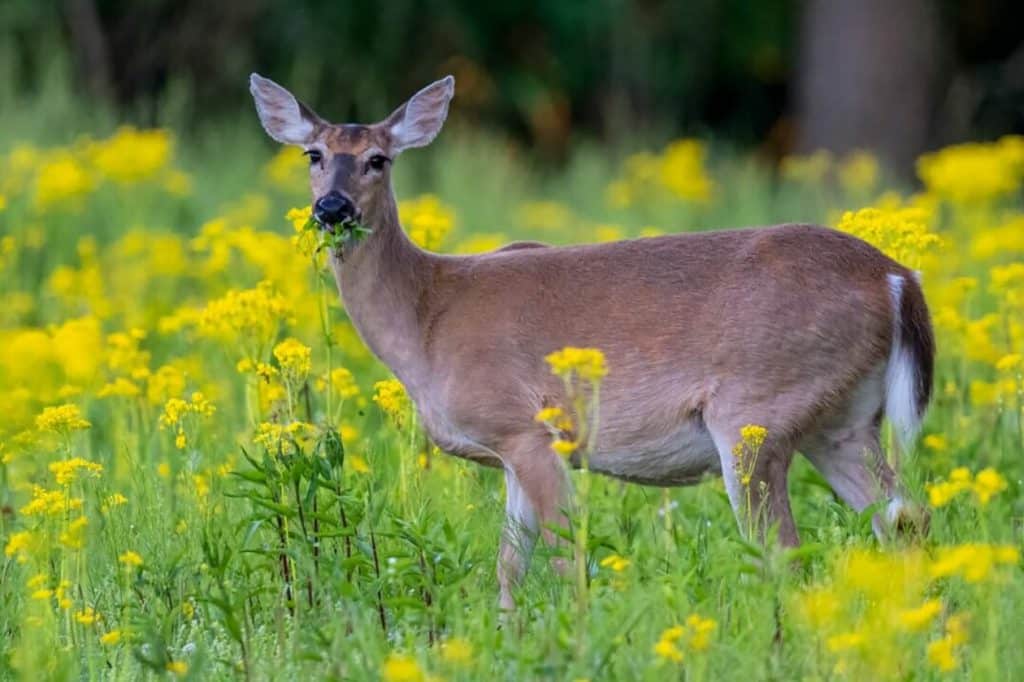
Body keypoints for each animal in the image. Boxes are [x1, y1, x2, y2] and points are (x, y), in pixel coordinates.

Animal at [249, 73, 937, 606]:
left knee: (788, 549)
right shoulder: (507, 455)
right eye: (312, 154)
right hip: (841, 424)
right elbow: (508, 567)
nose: (332, 209)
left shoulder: (528, 429)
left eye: (378, 159)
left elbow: (559, 558)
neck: (428, 317)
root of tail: (897, 277)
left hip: (756, 413)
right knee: (905, 520)